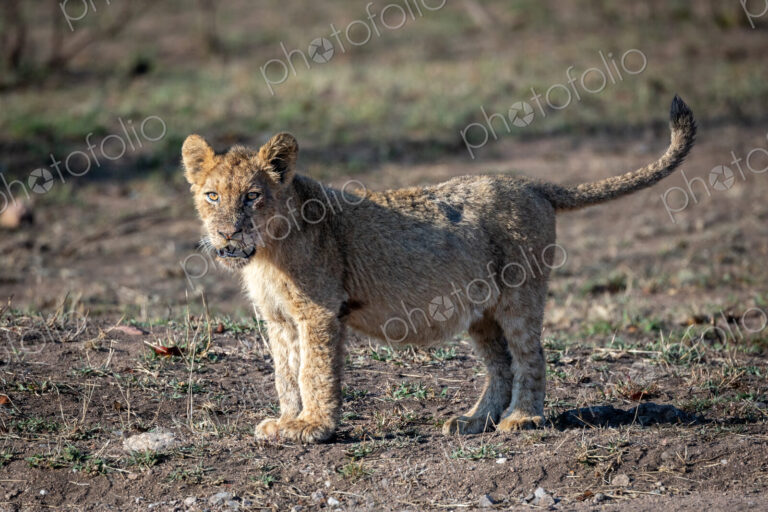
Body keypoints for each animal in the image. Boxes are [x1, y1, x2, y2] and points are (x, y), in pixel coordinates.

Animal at [181, 96, 695, 443]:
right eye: (212, 195)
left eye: (252, 196)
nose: (226, 233)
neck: (267, 253)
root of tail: (532, 183)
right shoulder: (279, 319)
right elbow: (286, 375)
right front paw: (288, 421)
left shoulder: (319, 311)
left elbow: (313, 372)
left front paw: (314, 427)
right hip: (482, 310)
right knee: (500, 364)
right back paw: (473, 421)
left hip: (520, 294)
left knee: (530, 356)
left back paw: (521, 419)